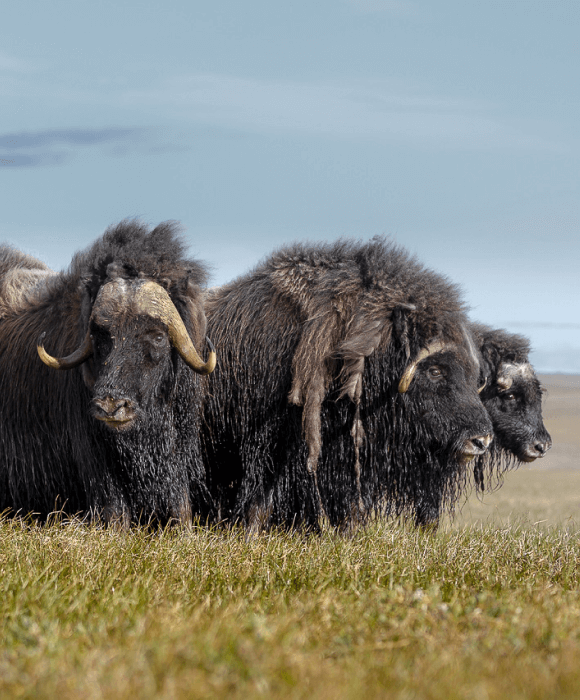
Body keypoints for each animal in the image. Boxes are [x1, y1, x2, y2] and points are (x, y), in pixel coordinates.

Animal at [0, 220, 215, 526]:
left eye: (158, 336)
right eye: (100, 336)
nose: (110, 406)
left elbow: (181, 505)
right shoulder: (96, 461)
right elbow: (114, 511)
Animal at [202, 237, 493, 531]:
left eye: (473, 374)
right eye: (435, 370)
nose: (481, 440)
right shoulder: (269, 440)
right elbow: (262, 497)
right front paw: (251, 534)